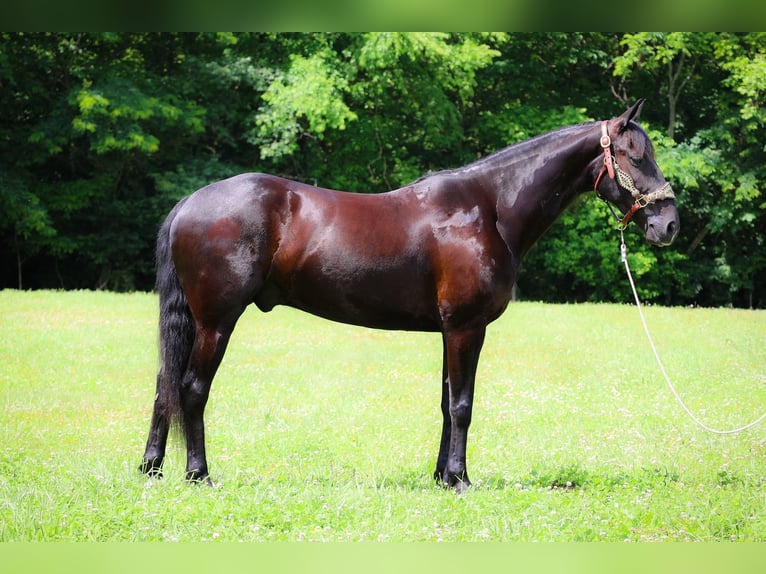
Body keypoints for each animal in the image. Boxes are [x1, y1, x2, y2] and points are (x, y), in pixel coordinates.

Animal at [141, 98, 680, 490]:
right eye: (635, 155)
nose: (669, 224)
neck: (488, 207)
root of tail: (190, 203)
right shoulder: (466, 327)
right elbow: (463, 404)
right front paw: (460, 479)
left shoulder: (449, 329)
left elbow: (446, 403)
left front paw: (442, 476)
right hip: (216, 321)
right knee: (192, 389)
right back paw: (198, 475)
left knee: (165, 386)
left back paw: (152, 468)